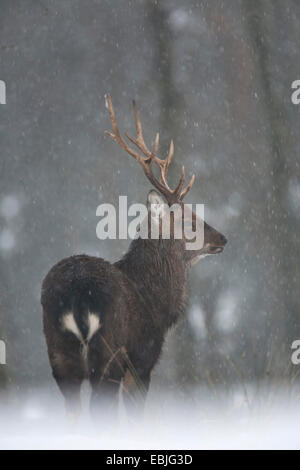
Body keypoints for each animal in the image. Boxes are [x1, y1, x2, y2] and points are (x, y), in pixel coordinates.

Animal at [40, 93, 227, 424]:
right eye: (189, 221)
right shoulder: (143, 357)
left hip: (59, 351)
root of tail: (76, 296)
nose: (222, 238)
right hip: (110, 349)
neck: (156, 298)